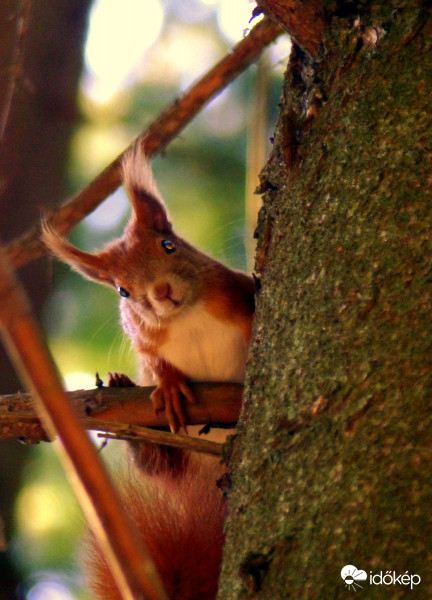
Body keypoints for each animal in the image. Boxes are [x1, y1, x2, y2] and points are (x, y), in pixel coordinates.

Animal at [41, 143, 253, 596]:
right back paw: (129, 406)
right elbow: (156, 365)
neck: (187, 316)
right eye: (122, 290)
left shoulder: (239, 291)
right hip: (175, 455)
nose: (161, 291)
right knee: (158, 465)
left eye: (169, 244)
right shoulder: (144, 343)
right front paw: (168, 384)